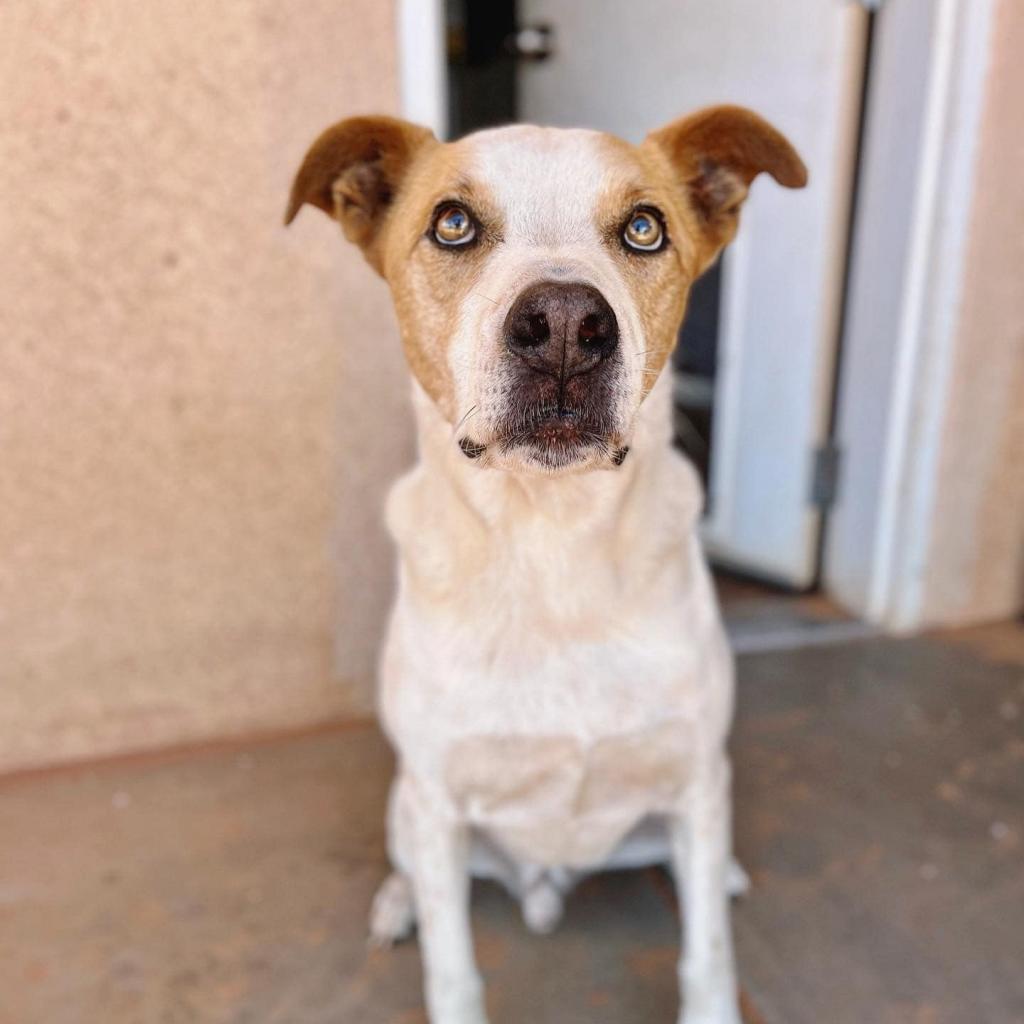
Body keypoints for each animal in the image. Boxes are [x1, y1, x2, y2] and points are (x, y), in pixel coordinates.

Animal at [284, 105, 802, 1024]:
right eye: (452, 223)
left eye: (644, 228)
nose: (565, 325)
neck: (552, 547)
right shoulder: (439, 800)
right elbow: (454, 969)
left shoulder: (695, 777)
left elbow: (707, 952)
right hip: (407, 805)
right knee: (413, 866)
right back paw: (397, 903)